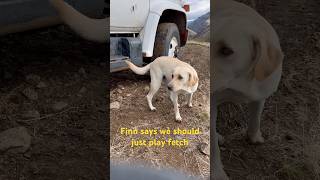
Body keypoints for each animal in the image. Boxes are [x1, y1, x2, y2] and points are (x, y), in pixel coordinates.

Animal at [211, 0, 284, 179]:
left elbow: (256, 117)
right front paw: (217, 172)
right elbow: (213, 148)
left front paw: (254, 136)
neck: (240, 80)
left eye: (226, 50)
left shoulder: (260, 94)